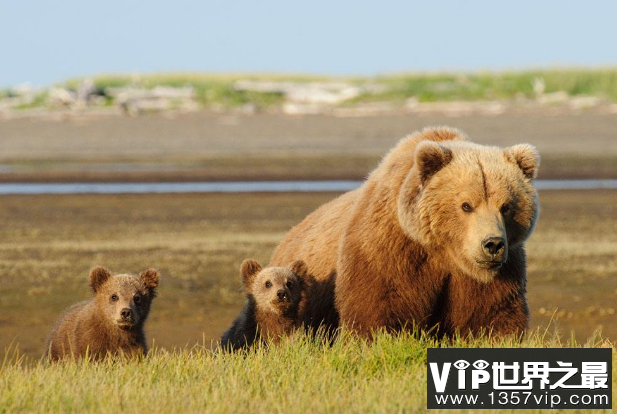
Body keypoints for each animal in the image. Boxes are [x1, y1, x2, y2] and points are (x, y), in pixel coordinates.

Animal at [270, 127, 540, 340]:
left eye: (506, 206)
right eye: (466, 205)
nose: (492, 244)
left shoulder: (498, 272)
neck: (445, 254)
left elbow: (491, 315)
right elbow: (381, 306)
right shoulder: (391, 249)